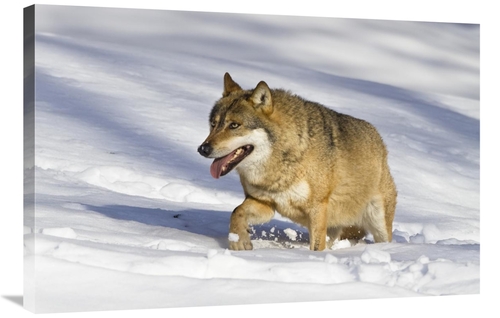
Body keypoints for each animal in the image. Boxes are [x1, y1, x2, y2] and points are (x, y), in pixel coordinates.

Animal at [197, 72, 396, 251]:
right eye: (213, 124)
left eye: (234, 125)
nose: (202, 149)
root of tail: (380, 142)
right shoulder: (264, 203)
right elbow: (236, 211)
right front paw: (239, 242)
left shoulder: (317, 208)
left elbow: (316, 248)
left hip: (378, 222)